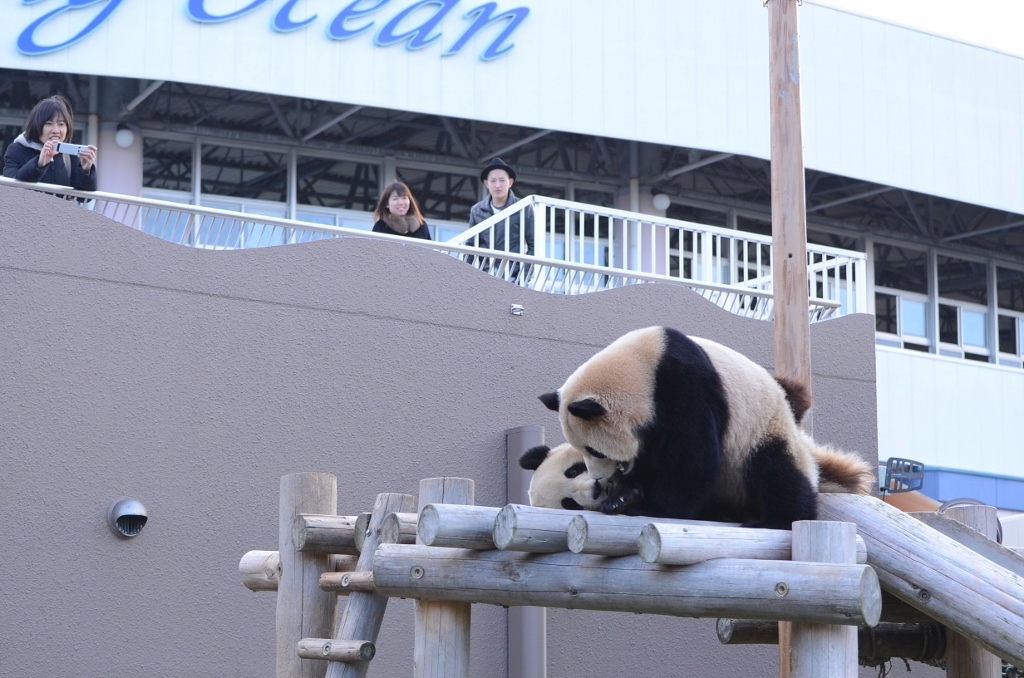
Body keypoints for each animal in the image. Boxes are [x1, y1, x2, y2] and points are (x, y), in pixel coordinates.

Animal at [536, 327, 872, 528]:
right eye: (580, 458)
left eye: (593, 451)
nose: (600, 480)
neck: (642, 368)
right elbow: (652, 459)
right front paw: (625, 495)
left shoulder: (683, 386)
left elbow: (692, 457)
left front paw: (649, 506)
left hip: (762, 431)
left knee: (777, 471)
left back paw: (777, 519)